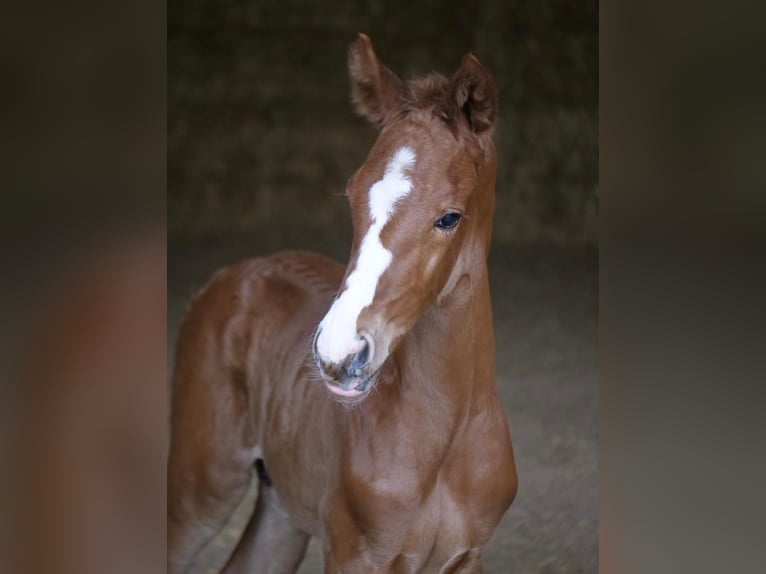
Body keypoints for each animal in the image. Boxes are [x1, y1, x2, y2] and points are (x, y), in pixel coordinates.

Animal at [170, 33, 520, 572]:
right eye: (353, 195)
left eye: (449, 217)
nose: (338, 353)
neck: (444, 445)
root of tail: (234, 272)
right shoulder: (353, 552)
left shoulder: (466, 556)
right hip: (202, 479)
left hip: (281, 507)